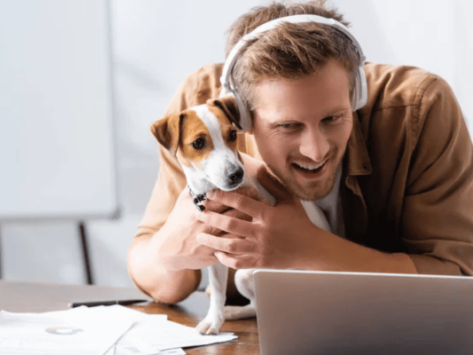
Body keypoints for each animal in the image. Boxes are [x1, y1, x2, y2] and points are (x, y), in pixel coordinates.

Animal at [149, 96, 274, 336]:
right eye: (198, 143)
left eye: (233, 135)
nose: (236, 174)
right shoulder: (217, 253)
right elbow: (217, 291)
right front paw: (213, 321)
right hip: (243, 276)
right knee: (255, 305)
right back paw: (233, 312)